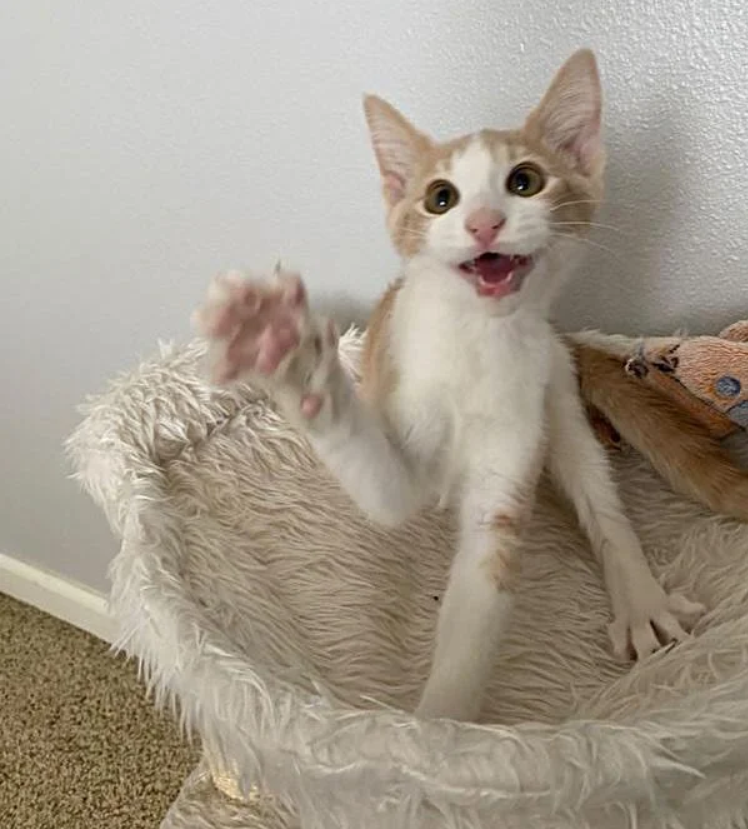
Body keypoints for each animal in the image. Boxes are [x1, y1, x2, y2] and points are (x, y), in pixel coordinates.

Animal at [196, 48, 704, 720]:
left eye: (525, 181)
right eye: (441, 197)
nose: (485, 223)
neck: (477, 345)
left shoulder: (505, 475)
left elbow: (476, 614)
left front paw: (434, 738)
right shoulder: (400, 434)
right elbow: (388, 494)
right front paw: (289, 353)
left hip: (555, 389)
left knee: (595, 489)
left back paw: (641, 600)